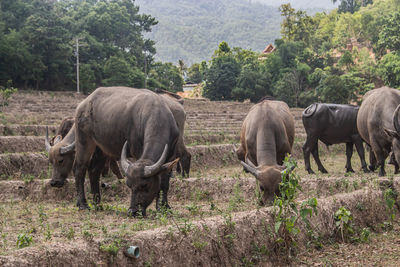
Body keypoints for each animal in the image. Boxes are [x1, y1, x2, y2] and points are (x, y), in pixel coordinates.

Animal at [45, 87, 180, 217]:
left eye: (144, 185)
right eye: (129, 185)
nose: (133, 211)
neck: (158, 118)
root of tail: (83, 105)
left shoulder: (171, 156)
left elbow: (164, 183)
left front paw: (164, 207)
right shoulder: (137, 153)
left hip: (101, 148)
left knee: (94, 171)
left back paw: (98, 204)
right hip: (84, 140)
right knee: (79, 168)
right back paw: (83, 204)